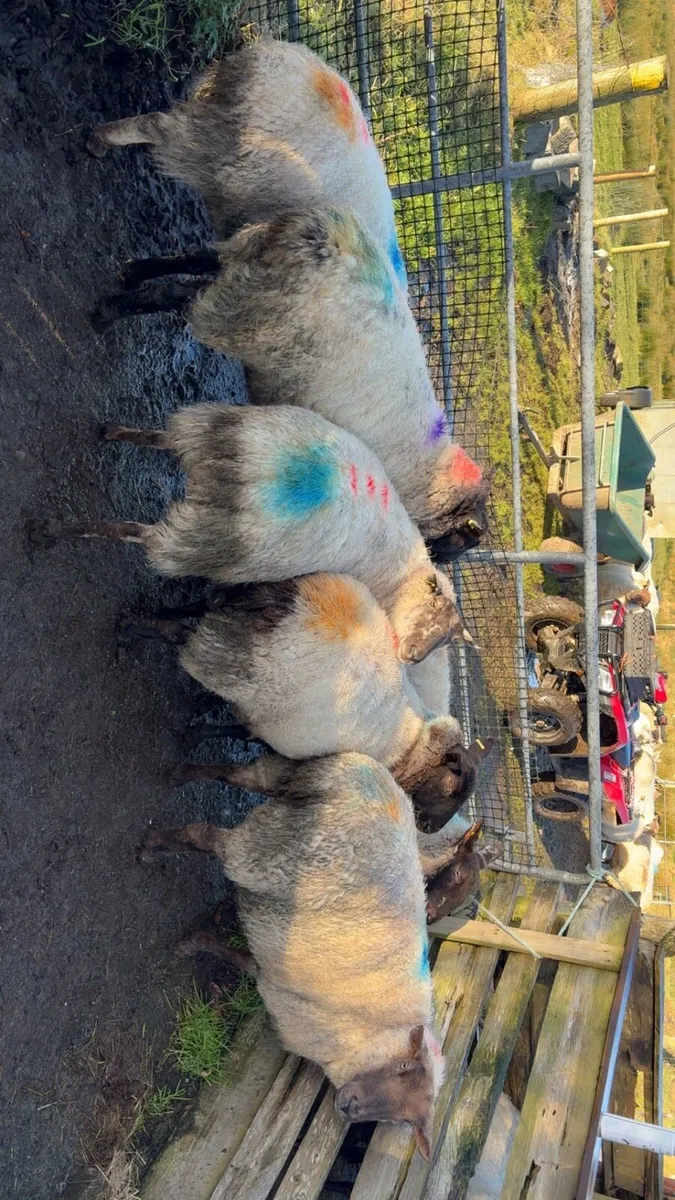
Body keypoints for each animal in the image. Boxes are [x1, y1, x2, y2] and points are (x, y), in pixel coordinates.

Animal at [36, 403, 476, 667]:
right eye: (437, 606)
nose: (412, 656)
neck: (394, 578)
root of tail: (276, 475)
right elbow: (208, 602)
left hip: (212, 434)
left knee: (160, 440)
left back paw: (111, 433)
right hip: (223, 539)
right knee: (133, 532)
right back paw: (51, 531)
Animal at [92, 209, 490, 561]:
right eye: (457, 543)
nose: (432, 558)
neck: (429, 477)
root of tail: (329, 235)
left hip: (247, 259)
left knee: (197, 257)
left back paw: (130, 274)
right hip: (243, 313)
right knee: (175, 293)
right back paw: (105, 313)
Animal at [123, 572, 493, 825]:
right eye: (451, 786)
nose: (427, 828)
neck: (413, 749)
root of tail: (297, 602)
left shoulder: (267, 720)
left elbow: (235, 728)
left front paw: (197, 724)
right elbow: (235, 763)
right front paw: (186, 762)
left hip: (239, 605)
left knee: (197, 605)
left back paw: (144, 616)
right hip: (251, 660)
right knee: (183, 635)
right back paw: (132, 629)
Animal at [139, 752, 498, 1154]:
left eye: (403, 1120)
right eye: (403, 1069)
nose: (348, 1106)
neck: (370, 1031)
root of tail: (368, 778)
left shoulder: (274, 975)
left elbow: (241, 955)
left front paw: (210, 928)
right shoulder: (279, 989)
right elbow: (235, 957)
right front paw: (192, 944)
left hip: (287, 802)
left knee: (239, 782)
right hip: (274, 853)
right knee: (206, 835)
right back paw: (149, 848)